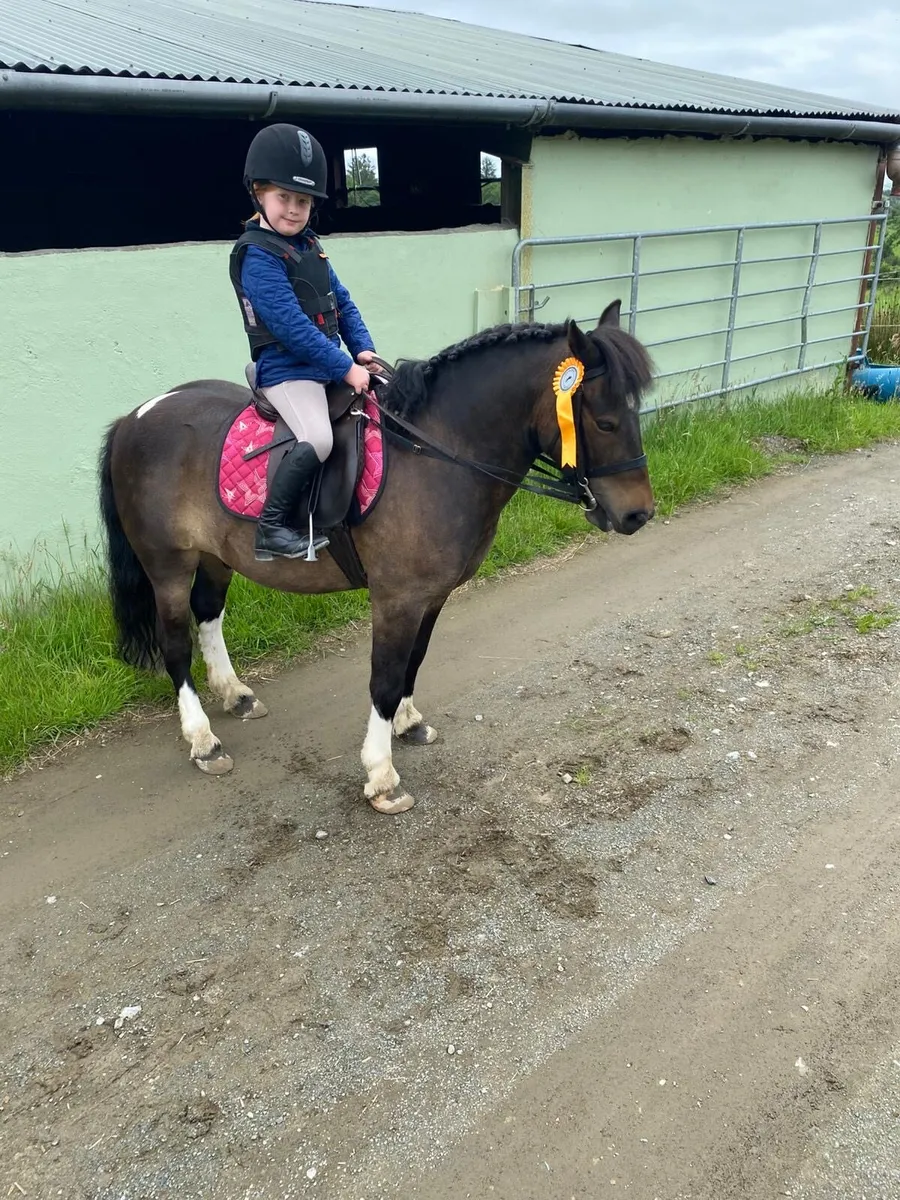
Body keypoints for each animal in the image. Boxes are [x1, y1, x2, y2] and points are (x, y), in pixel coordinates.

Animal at [98, 302, 655, 814]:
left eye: (633, 410)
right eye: (605, 421)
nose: (638, 514)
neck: (438, 452)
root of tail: (135, 416)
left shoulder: (433, 595)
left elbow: (414, 661)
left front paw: (408, 724)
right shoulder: (397, 599)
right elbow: (384, 679)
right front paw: (381, 775)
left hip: (215, 554)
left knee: (208, 612)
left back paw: (236, 694)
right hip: (167, 563)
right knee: (175, 644)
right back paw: (202, 739)